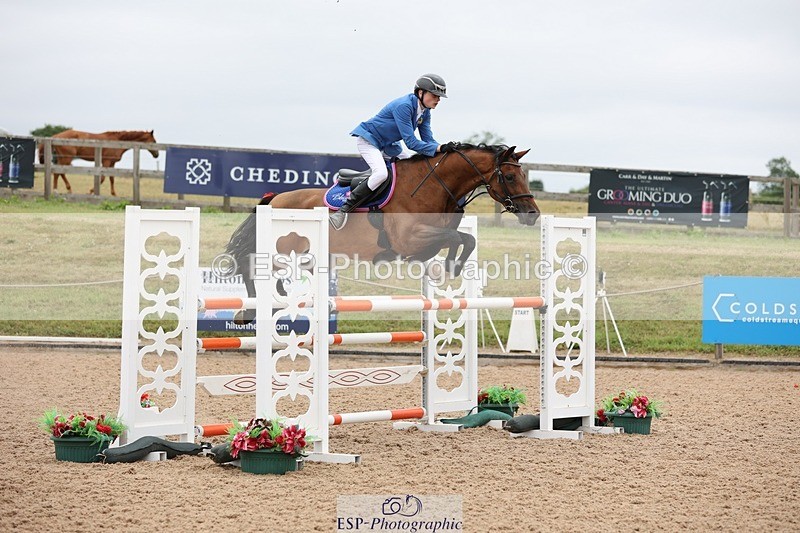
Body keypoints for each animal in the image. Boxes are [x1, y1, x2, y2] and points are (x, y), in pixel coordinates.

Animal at [225, 143, 540, 321]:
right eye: (509, 176)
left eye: (524, 175)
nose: (533, 214)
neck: (434, 186)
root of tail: (275, 198)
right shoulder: (409, 239)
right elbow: (455, 237)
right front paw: (450, 265)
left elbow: (466, 237)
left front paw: (451, 266)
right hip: (284, 249)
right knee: (253, 266)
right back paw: (251, 308)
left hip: (308, 256)